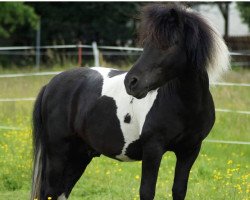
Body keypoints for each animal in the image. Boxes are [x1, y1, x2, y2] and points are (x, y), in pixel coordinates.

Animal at [31, 3, 230, 200]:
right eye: (147, 44)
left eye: (168, 45)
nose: (131, 82)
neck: (186, 107)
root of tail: (50, 85)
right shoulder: (153, 149)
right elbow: (147, 191)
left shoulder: (189, 151)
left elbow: (179, 190)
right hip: (58, 153)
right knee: (50, 192)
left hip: (79, 154)